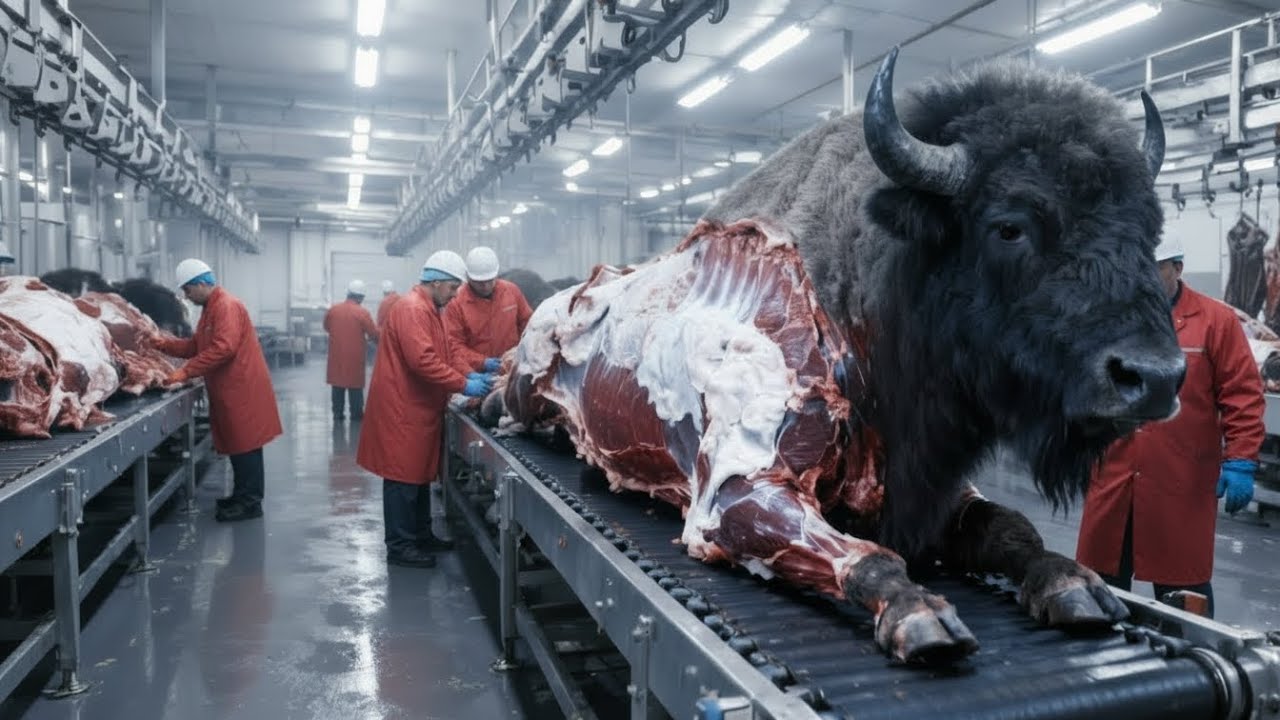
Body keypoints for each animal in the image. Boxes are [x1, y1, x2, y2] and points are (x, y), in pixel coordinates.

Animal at [482, 48, 1186, 664]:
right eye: (1010, 225)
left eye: (1150, 228)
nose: (1154, 377)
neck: (860, 300)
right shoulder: (733, 494)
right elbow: (866, 555)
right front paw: (921, 618)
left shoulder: (934, 490)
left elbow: (1013, 529)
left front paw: (1076, 585)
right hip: (529, 382)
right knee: (509, 398)